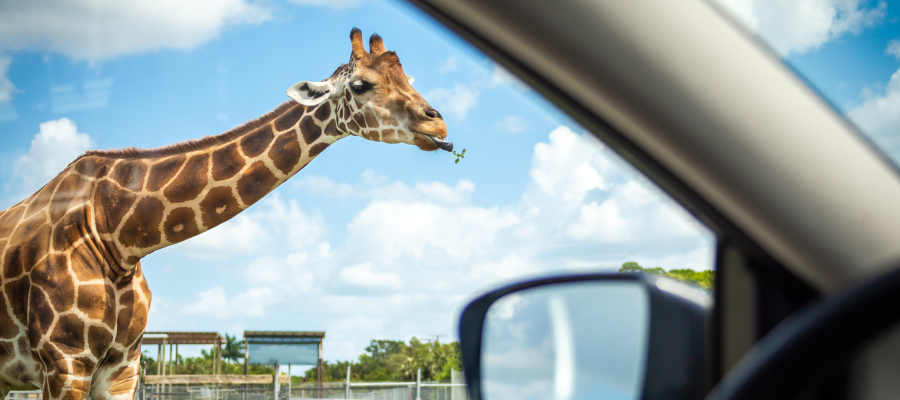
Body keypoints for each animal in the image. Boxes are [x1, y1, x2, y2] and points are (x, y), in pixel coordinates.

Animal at [0, 28, 450, 400]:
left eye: (408, 79)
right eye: (360, 85)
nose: (439, 126)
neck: (118, 235)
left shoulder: (122, 368)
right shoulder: (65, 363)